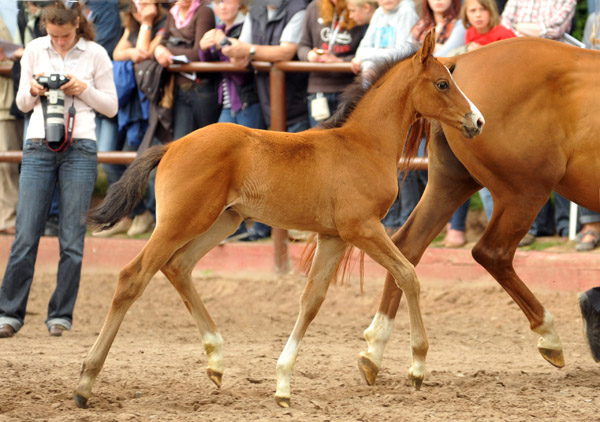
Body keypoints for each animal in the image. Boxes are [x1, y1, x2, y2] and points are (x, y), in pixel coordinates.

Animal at [74, 30, 482, 408]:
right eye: (443, 83)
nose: (477, 121)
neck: (363, 145)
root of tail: (172, 144)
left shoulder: (333, 237)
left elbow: (312, 300)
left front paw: (283, 383)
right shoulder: (362, 228)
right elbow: (408, 275)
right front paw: (416, 366)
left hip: (223, 221)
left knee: (178, 266)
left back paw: (216, 360)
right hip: (181, 222)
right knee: (133, 276)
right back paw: (85, 382)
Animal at [358, 36, 596, 386]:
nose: (476, 119)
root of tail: (460, 61)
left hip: (451, 183)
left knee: (406, 248)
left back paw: (375, 349)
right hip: (524, 193)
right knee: (492, 253)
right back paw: (548, 333)